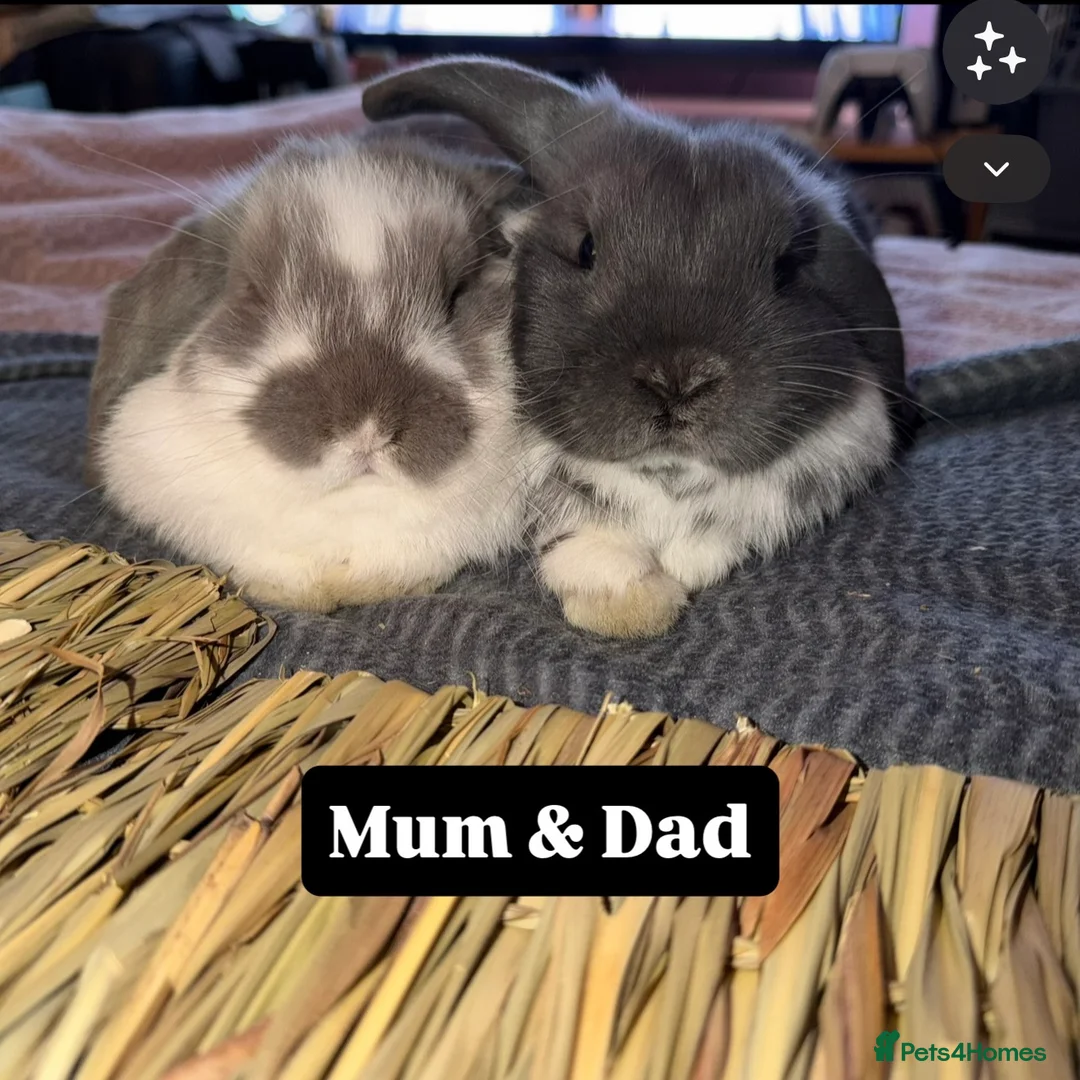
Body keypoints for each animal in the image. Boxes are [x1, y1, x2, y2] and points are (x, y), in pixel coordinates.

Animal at [362, 57, 912, 639]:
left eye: (786, 269)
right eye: (586, 248)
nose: (677, 381)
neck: (666, 483)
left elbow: (716, 536)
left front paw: (684, 570)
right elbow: (588, 533)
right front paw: (622, 603)